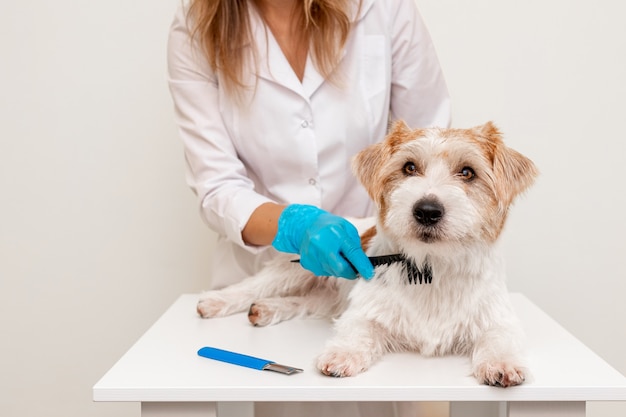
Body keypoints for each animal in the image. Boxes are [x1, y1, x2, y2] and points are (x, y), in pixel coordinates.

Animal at [196, 120, 536, 386]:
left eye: (467, 172)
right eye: (409, 167)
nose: (427, 210)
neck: (431, 267)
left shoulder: (497, 317)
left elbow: (500, 337)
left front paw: (502, 364)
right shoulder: (364, 311)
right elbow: (357, 329)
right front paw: (341, 354)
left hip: (326, 296)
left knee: (306, 302)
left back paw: (266, 309)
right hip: (298, 267)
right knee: (254, 286)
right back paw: (217, 301)